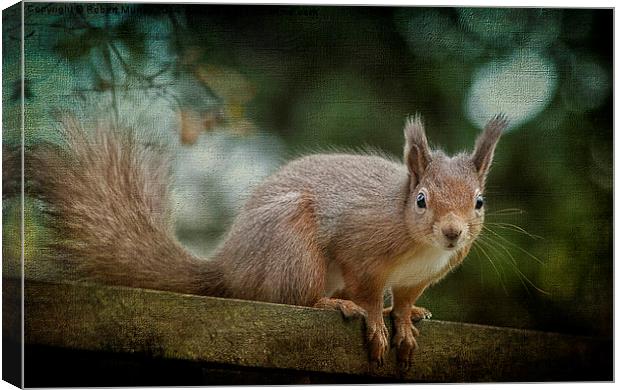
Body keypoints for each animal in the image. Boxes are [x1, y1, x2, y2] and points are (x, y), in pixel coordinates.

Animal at [26, 112, 506, 368]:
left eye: (479, 202)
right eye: (422, 200)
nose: (453, 232)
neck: (419, 244)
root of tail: (228, 265)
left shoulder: (417, 277)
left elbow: (403, 301)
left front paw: (405, 322)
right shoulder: (359, 250)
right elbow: (369, 294)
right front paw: (375, 323)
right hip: (293, 248)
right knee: (293, 298)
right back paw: (331, 304)